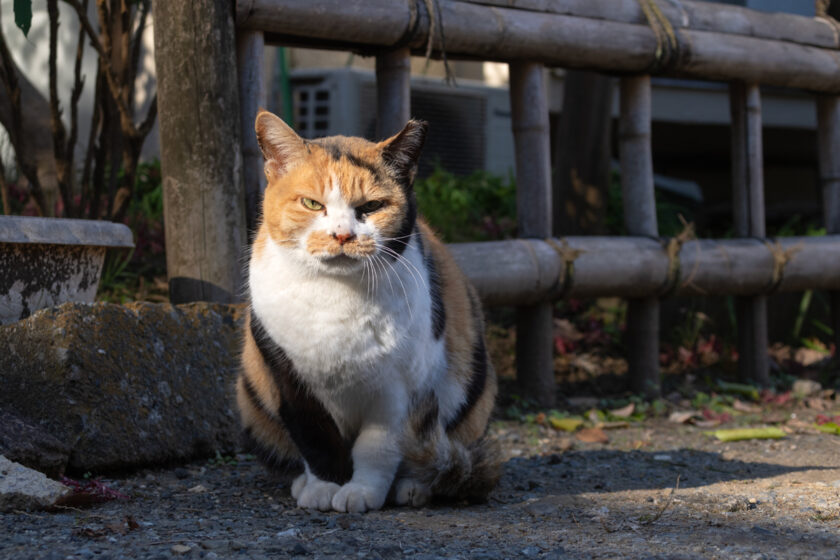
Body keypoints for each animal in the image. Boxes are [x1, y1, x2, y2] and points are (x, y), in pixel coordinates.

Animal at [235, 110, 498, 512]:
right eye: (312, 204)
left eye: (371, 207)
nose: (342, 235)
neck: (335, 297)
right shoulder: (285, 376)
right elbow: (315, 439)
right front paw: (323, 488)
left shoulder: (398, 390)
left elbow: (377, 448)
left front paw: (361, 493)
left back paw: (414, 487)